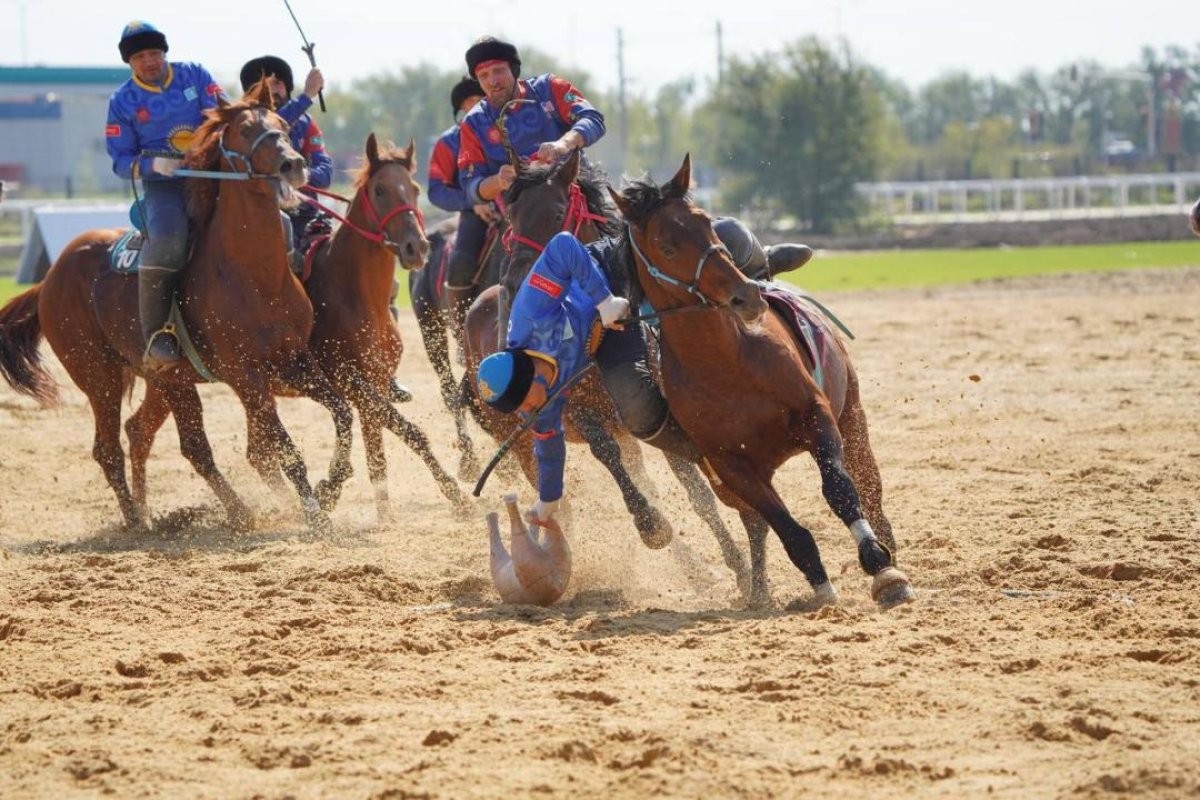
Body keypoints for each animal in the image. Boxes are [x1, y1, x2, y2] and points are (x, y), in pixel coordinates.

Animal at [0, 84, 352, 534]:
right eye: (243, 129)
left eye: (283, 126)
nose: (294, 164)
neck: (252, 274)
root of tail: (50, 279)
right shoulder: (247, 376)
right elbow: (286, 448)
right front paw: (314, 513)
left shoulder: (295, 361)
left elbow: (342, 415)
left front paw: (331, 488)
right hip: (98, 377)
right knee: (110, 449)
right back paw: (140, 520)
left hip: (170, 381)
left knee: (174, 442)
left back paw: (207, 512)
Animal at [123, 136, 468, 525]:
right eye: (380, 190)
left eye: (414, 188)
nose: (416, 247)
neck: (356, 292)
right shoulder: (351, 382)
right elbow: (403, 431)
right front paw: (332, 489)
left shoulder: (375, 382)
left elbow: (381, 445)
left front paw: (391, 508)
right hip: (199, 385)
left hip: (178, 384)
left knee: (155, 434)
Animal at [460, 149, 753, 599]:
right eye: (510, 216)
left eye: (556, 210)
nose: (515, 280)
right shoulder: (580, 414)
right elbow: (609, 459)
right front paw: (652, 527)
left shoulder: (653, 410)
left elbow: (694, 490)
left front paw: (736, 565)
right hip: (519, 442)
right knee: (558, 494)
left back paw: (696, 568)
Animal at [609, 154, 916, 606]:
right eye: (667, 246)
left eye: (706, 222)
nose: (747, 296)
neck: (728, 365)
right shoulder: (730, 464)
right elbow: (785, 527)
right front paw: (819, 585)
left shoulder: (816, 415)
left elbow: (840, 490)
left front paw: (882, 567)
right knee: (755, 525)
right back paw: (758, 591)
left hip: (853, 415)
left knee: (869, 488)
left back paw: (889, 550)